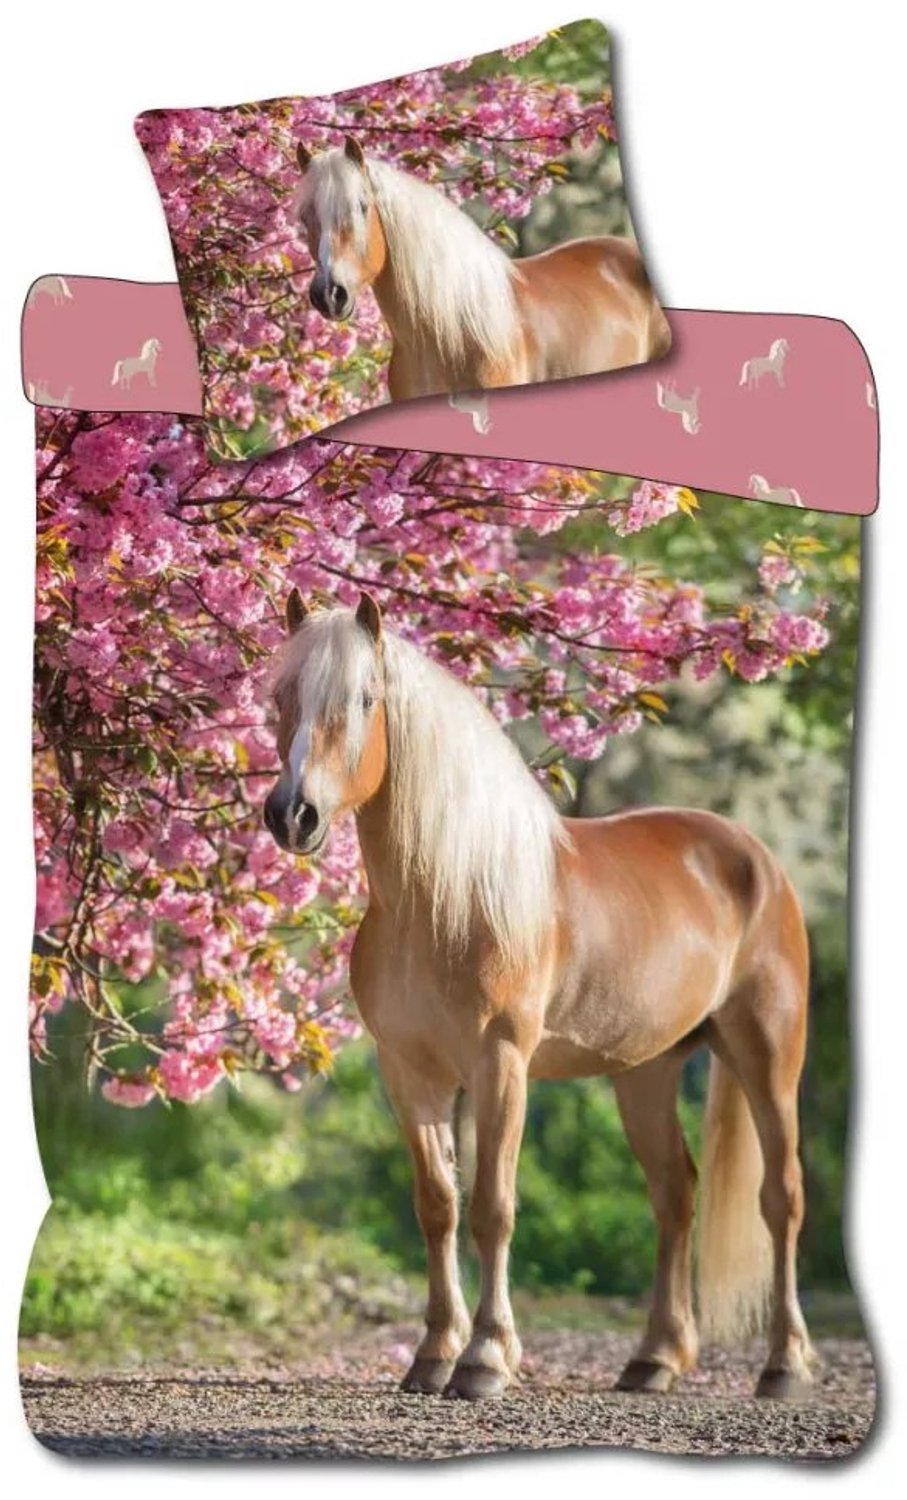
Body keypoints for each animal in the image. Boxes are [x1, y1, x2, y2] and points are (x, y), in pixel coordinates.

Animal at [264, 593, 816, 1403]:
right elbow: (438, 1205)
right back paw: (654, 1359)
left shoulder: (501, 1065)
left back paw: (783, 1365)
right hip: (645, 1072)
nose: (291, 814)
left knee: (780, 1198)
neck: (445, 899)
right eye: (281, 696)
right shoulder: (409, 1073)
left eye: (364, 700)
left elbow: (493, 1206)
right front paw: (433, 1354)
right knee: (674, 1194)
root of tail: (755, 859)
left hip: (767, 1053)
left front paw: (485, 1359)